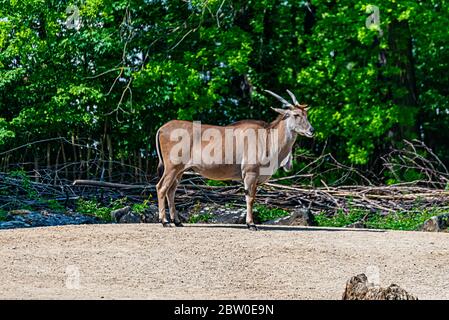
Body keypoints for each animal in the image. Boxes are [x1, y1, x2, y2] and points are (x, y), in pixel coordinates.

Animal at [156, 89, 314, 230]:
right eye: (296, 114)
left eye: (306, 114)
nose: (311, 130)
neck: (267, 137)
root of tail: (162, 128)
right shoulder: (250, 174)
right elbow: (250, 198)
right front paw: (251, 224)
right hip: (172, 168)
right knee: (161, 188)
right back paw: (164, 221)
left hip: (180, 171)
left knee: (171, 191)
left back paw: (177, 221)